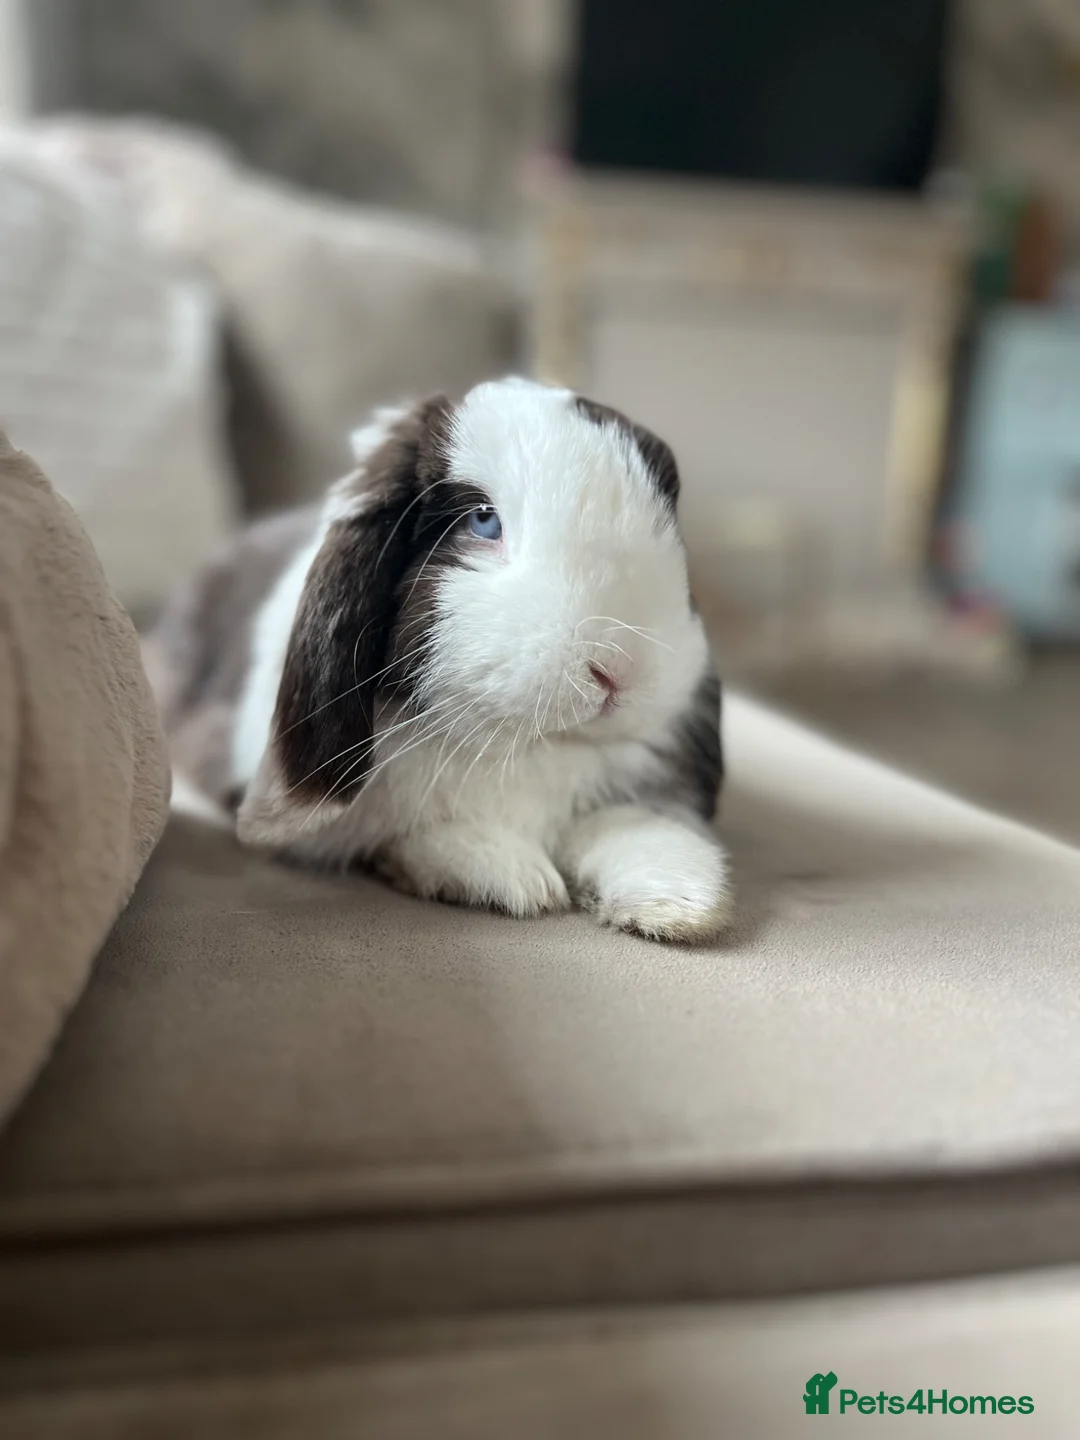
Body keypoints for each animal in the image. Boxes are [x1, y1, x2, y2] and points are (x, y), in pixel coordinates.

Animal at [150, 376, 732, 942]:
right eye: (483, 521)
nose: (618, 670)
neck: (526, 747)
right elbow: (417, 836)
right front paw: (514, 875)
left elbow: (630, 827)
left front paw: (678, 900)